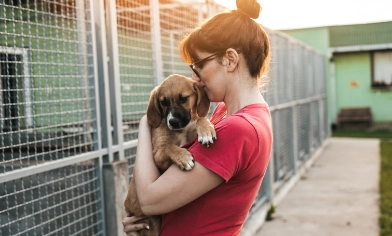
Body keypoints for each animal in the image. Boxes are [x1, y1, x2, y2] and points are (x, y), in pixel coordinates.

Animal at [125, 74, 217, 236]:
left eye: (183, 99)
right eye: (163, 102)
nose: (172, 121)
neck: (180, 131)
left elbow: (200, 118)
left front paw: (206, 130)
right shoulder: (157, 154)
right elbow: (169, 147)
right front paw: (184, 157)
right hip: (152, 223)